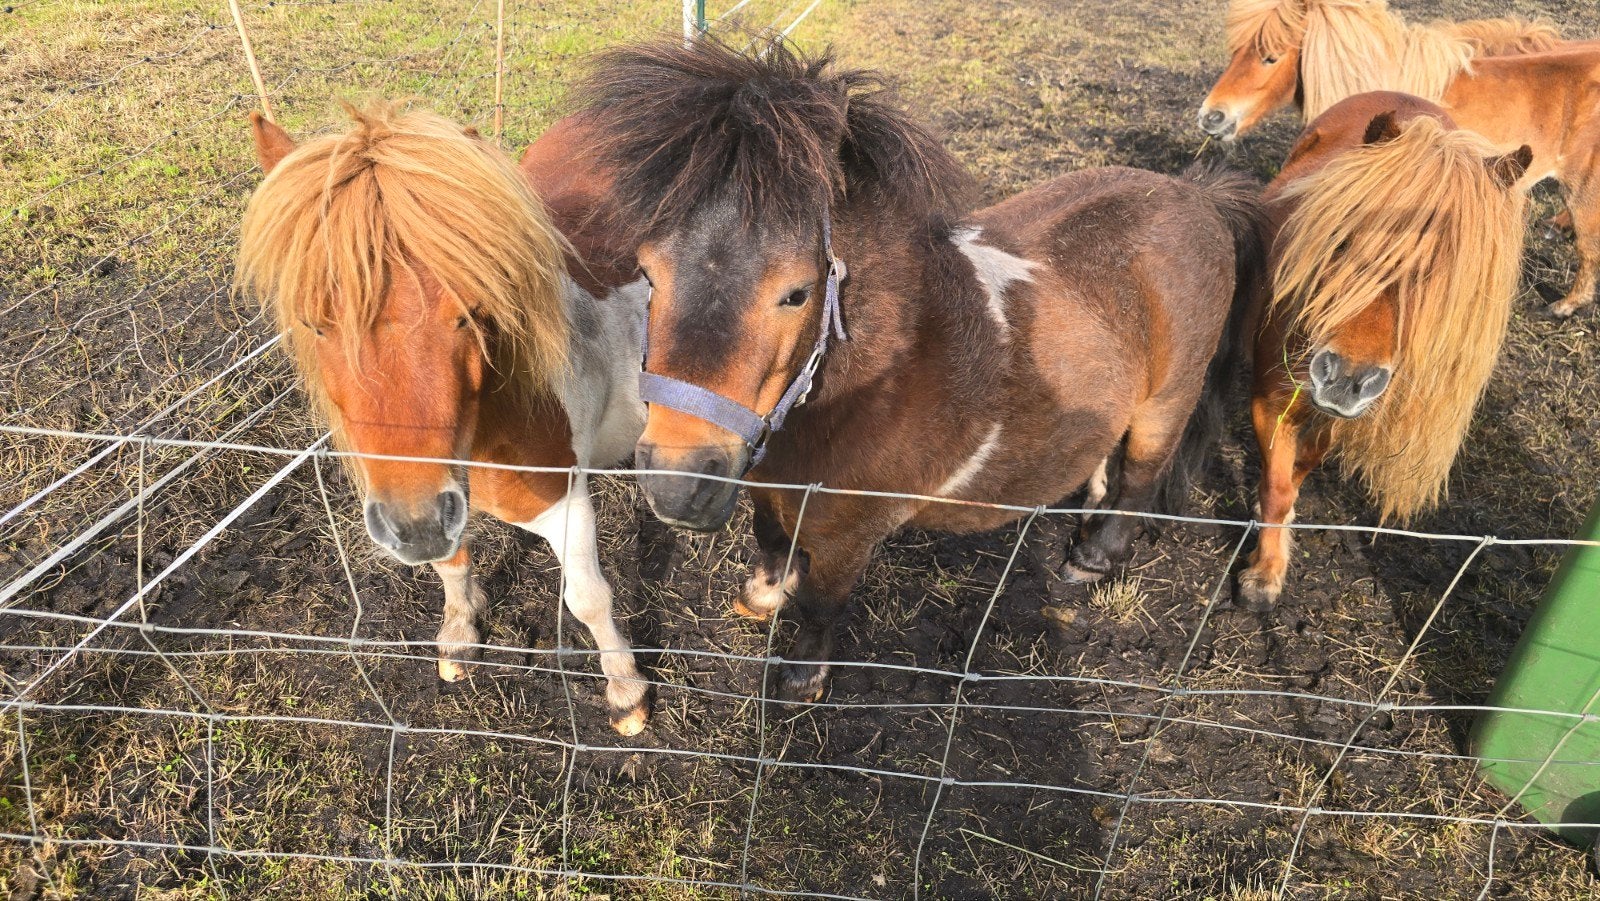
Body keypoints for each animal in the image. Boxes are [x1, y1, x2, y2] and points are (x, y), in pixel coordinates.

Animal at [235, 103, 653, 735]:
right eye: (314, 324)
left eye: (471, 314)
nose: (415, 525)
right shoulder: (440, 500)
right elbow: (451, 565)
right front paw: (459, 633)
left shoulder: (565, 501)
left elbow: (587, 598)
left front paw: (626, 690)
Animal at [576, 37, 1267, 702]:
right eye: (648, 273)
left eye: (796, 293)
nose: (676, 487)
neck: (878, 380)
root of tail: (1198, 196)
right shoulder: (769, 486)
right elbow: (770, 538)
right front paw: (761, 598)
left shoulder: (851, 530)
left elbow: (821, 602)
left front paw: (802, 680)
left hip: (1167, 402)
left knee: (1141, 480)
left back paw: (1093, 558)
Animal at [1196, 0, 1600, 319]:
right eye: (1235, 52)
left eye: (1270, 57)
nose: (1211, 117)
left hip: (1583, 188)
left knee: (1588, 246)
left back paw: (1565, 305)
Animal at [1237, 92, 1530, 607]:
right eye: (1342, 241)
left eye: (1443, 281)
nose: (1346, 378)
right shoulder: (1270, 402)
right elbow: (1276, 488)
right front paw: (1264, 574)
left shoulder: (1334, 422)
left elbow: (1300, 471)